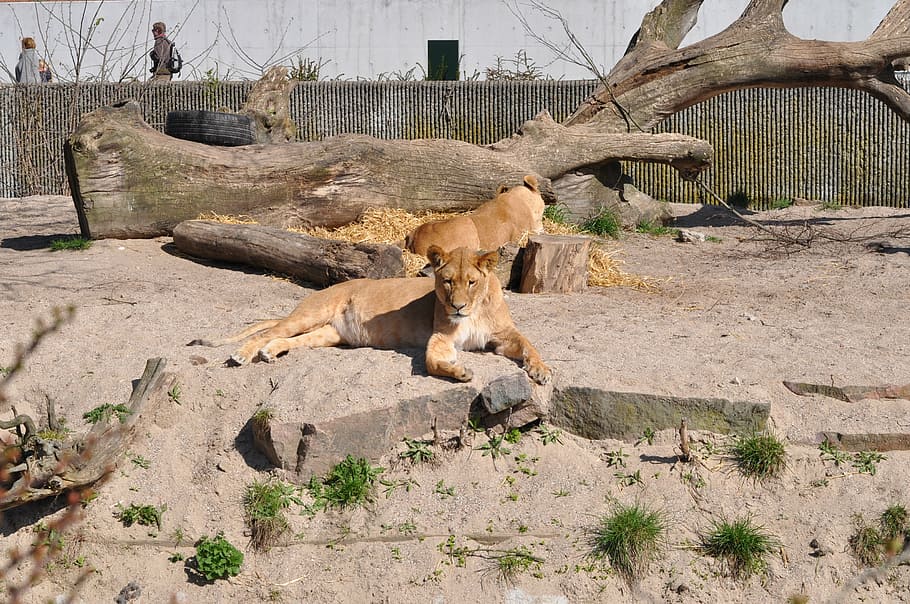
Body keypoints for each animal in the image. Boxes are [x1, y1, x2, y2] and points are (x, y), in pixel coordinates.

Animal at [189, 246, 551, 385]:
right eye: (448, 282)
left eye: (471, 282)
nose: (457, 307)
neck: (473, 311)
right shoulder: (441, 336)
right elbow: (432, 362)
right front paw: (459, 372)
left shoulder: (502, 335)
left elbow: (530, 344)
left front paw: (541, 370)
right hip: (311, 313)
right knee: (268, 331)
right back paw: (242, 354)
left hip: (328, 334)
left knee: (290, 339)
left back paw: (269, 352)